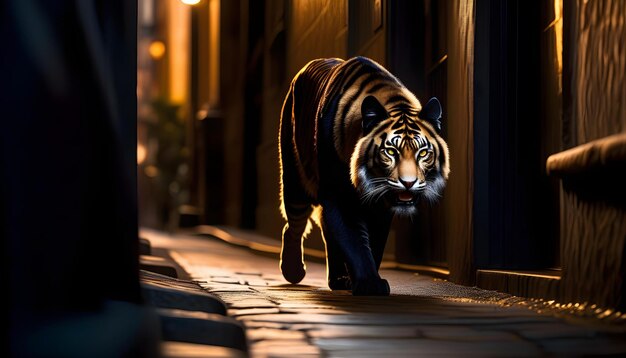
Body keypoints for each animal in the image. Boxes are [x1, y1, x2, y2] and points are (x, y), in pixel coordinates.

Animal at [278, 56, 448, 296]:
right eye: (390, 151)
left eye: (422, 153)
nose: (408, 183)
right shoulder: (339, 197)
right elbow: (354, 241)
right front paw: (369, 283)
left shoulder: (381, 207)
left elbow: (374, 243)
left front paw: (363, 279)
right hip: (295, 181)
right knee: (293, 225)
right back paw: (293, 271)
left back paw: (338, 279)